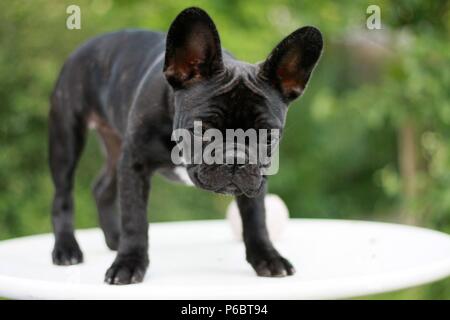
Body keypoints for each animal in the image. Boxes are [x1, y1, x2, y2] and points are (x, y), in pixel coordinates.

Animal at [48, 6, 324, 284]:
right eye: (203, 129)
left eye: (268, 136)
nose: (236, 158)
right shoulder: (135, 164)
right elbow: (134, 218)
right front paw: (129, 263)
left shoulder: (257, 180)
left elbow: (256, 218)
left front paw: (267, 257)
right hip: (66, 137)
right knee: (63, 196)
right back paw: (67, 249)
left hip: (117, 150)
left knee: (102, 187)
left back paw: (114, 238)